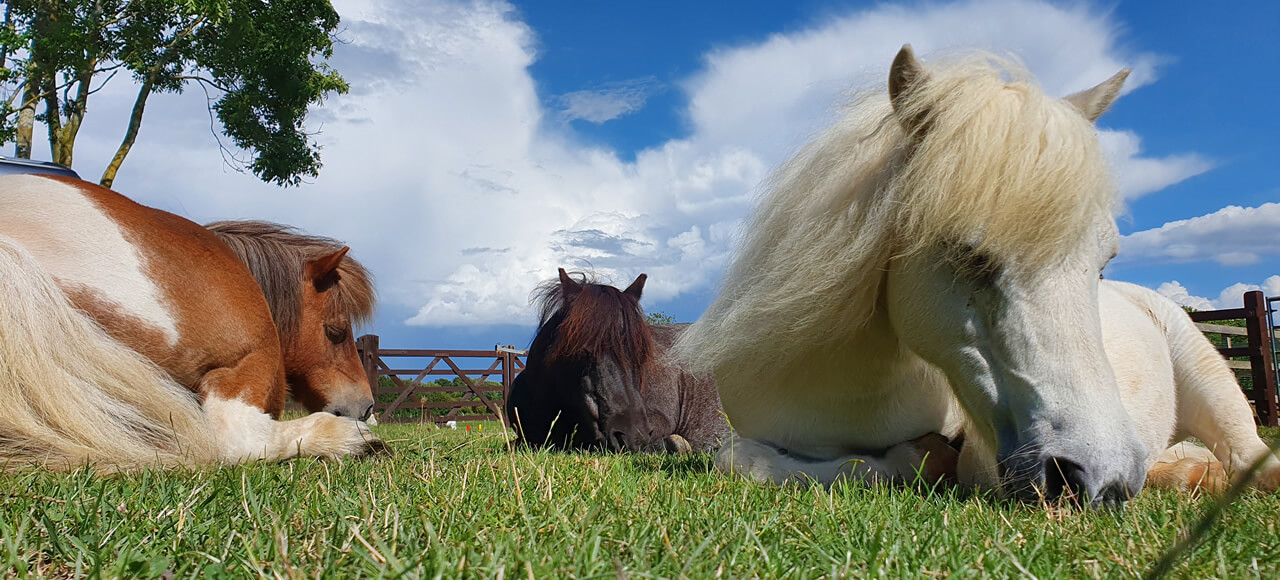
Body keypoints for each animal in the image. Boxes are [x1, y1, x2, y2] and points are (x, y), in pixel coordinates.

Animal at [673, 45, 1278, 507]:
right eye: (969, 254)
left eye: (1103, 263)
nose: (1102, 477)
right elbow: (738, 460)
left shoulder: (983, 454)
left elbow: (917, 461)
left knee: (1252, 458)